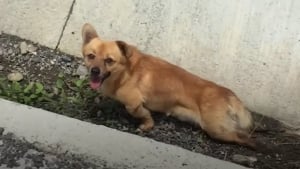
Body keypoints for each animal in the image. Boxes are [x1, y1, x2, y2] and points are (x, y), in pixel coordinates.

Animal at [81, 23, 255, 149]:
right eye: (91, 56)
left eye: (109, 60)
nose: (95, 71)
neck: (125, 71)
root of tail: (229, 94)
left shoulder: (134, 104)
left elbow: (142, 114)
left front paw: (147, 125)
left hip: (217, 129)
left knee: (245, 137)